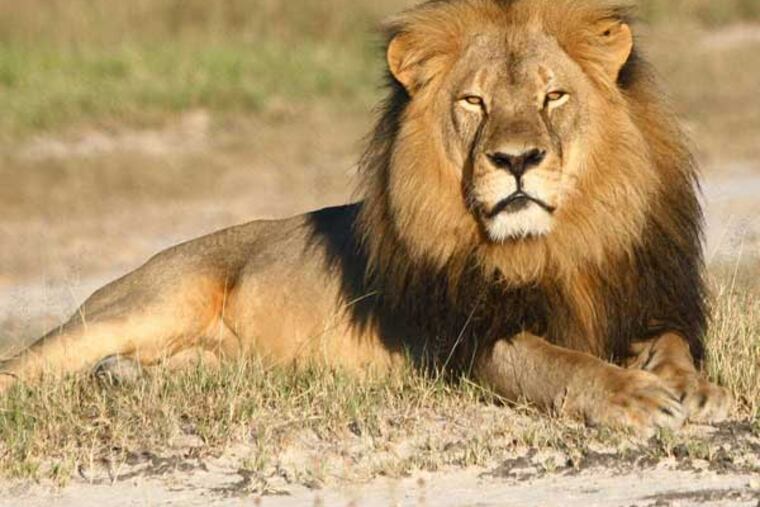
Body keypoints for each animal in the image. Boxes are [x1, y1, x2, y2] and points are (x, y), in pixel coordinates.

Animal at [0, 0, 731, 435]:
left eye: (553, 96)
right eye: (473, 102)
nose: (516, 159)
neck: (558, 242)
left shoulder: (643, 301)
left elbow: (671, 344)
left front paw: (697, 388)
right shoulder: (462, 340)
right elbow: (555, 362)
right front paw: (633, 397)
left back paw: (122, 377)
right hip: (147, 302)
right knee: (24, 363)